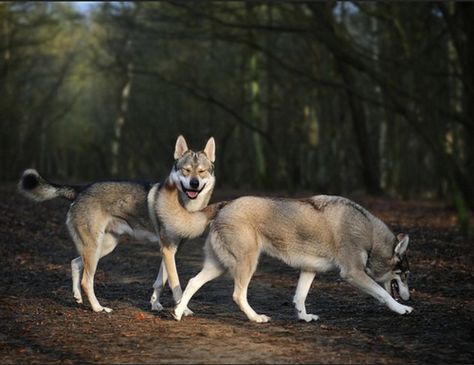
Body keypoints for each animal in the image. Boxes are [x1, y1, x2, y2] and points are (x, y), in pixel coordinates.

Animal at [18, 135, 215, 312]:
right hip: (95, 249)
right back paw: (98, 308)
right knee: (86, 281)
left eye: (202, 171)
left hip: (103, 248)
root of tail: (81, 189)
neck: (185, 207)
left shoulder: (172, 250)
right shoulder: (167, 249)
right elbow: (175, 284)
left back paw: (77, 297)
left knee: (75, 263)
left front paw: (155, 304)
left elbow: (161, 281)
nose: (194, 183)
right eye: (186, 170)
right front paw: (182, 309)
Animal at [154, 178, 412, 322]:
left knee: (192, 283)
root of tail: (226, 204)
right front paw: (402, 308)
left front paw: (305, 317)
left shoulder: (309, 271)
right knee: (238, 295)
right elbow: (384, 295)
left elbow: (300, 297)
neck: (368, 232)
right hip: (247, 265)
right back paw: (256, 318)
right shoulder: (353, 274)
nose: (410, 295)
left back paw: (178, 313)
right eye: (404, 275)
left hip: (218, 266)